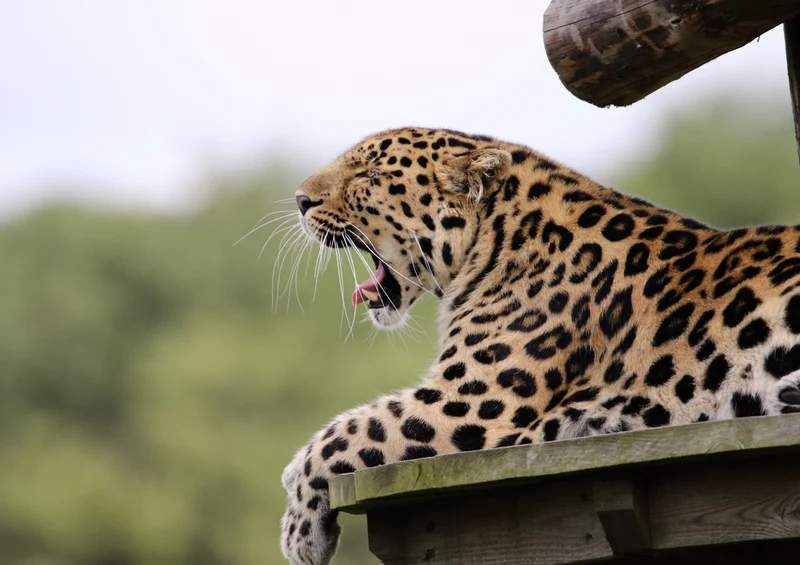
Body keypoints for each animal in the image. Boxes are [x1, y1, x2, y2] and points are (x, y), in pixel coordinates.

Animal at [280, 127, 800, 565]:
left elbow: (349, 430)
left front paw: (298, 529)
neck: (495, 240)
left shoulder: (471, 402)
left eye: (369, 175)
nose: (301, 200)